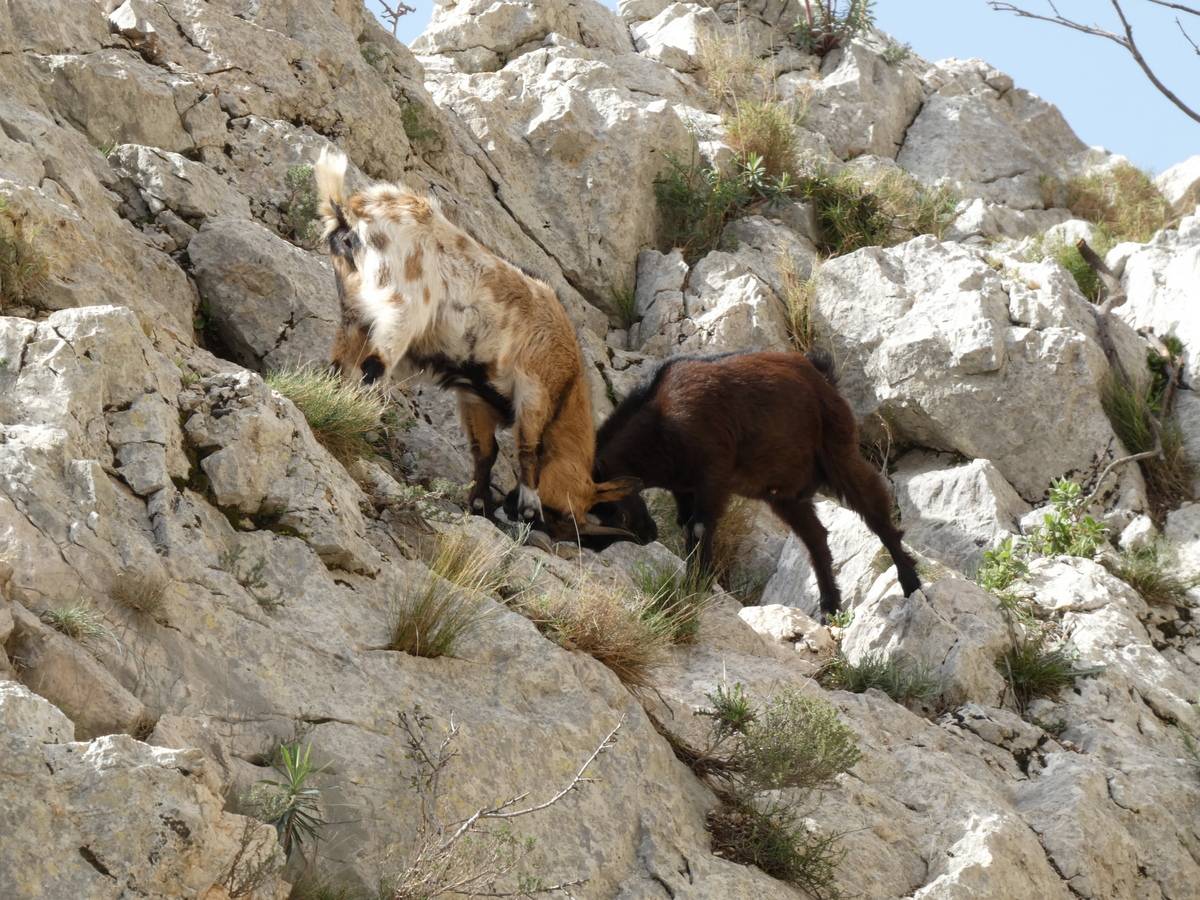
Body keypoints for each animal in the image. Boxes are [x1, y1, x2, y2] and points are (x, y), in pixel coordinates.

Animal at [316, 150, 638, 535]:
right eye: (566, 512)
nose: (557, 532)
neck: (568, 381)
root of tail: (351, 214)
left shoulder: (475, 396)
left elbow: (486, 451)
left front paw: (480, 504)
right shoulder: (534, 389)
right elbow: (528, 449)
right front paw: (528, 508)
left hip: (354, 311)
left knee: (341, 365)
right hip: (399, 312)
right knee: (372, 369)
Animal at [595, 352, 921, 619]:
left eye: (614, 510)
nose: (647, 535)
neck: (662, 419)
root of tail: (819, 373)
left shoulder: (713, 477)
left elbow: (699, 528)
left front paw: (695, 588)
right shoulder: (684, 489)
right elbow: (687, 527)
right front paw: (692, 584)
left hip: (839, 452)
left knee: (875, 512)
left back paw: (911, 583)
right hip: (784, 495)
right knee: (816, 537)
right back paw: (830, 607)